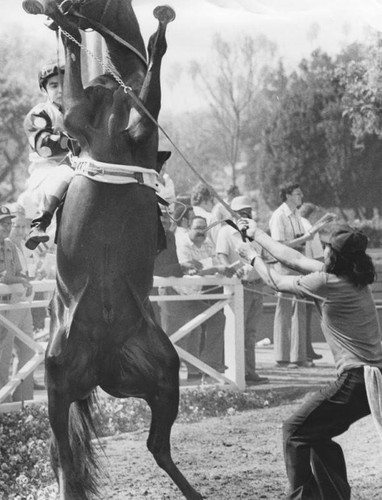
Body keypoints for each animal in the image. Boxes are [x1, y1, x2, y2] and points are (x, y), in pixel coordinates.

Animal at [22, 0, 203, 500]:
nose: (45, 6)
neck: (115, 90)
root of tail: (102, 361)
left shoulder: (141, 124)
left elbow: (155, 67)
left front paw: (160, 28)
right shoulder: (78, 117)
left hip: (162, 372)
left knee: (156, 447)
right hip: (57, 380)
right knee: (67, 459)